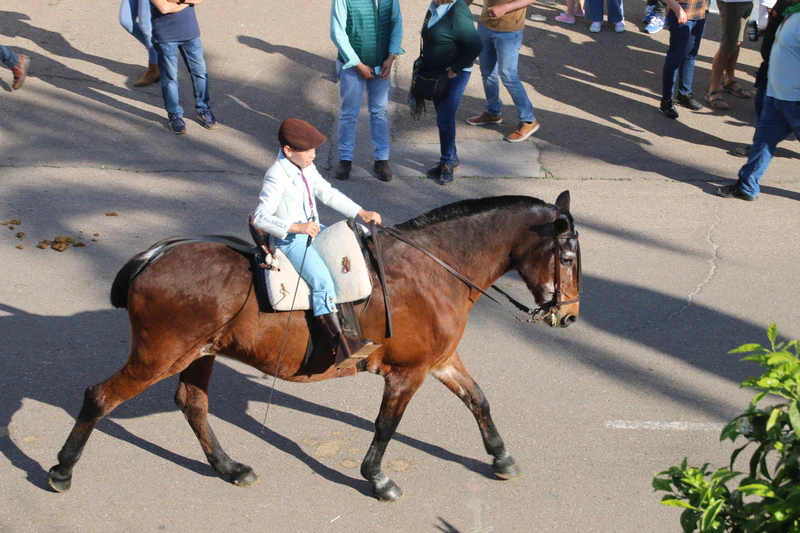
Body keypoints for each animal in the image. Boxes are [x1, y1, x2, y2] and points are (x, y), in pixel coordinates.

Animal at [47, 191, 580, 498]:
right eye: (569, 256)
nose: (571, 314)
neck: (435, 266)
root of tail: (157, 254)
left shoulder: (440, 360)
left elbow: (479, 400)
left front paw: (500, 456)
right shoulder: (408, 372)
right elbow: (386, 425)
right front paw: (376, 477)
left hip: (200, 353)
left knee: (192, 403)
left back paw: (229, 467)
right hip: (159, 355)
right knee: (100, 397)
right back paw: (62, 470)